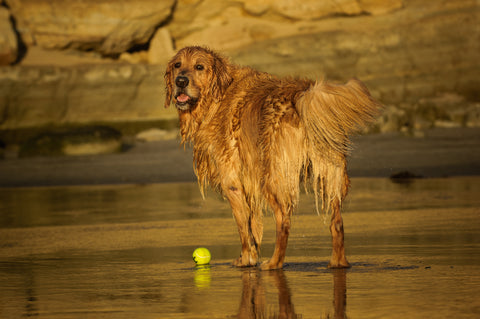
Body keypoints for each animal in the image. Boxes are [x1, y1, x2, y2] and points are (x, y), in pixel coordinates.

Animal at [165, 45, 382, 270]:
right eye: (177, 65)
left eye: (199, 66)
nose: (180, 81)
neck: (217, 96)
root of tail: (301, 94)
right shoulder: (249, 184)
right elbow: (253, 225)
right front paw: (249, 256)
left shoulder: (232, 182)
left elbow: (244, 228)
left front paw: (246, 259)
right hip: (330, 174)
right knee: (337, 222)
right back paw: (338, 263)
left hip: (273, 178)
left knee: (284, 221)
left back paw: (274, 263)